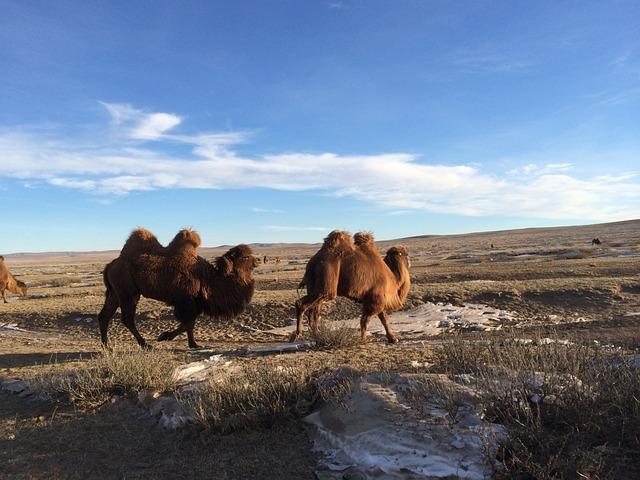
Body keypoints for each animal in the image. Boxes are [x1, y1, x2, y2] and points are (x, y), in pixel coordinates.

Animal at [97, 229, 258, 348]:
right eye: (244, 257)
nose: (257, 260)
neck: (208, 278)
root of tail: (110, 265)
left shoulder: (195, 303)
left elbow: (187, 324)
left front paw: (168, 337)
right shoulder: (186, 302)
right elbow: (188, 324)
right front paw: (188, 343)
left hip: (115, 292)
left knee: (104, 315)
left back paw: (107, 346)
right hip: (129, 293)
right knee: (127, 319)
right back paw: (145, 344)